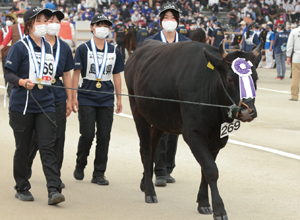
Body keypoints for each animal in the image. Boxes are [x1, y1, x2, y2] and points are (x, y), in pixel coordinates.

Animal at [123, 39, 260, 220]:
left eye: (256, 78)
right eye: (230, 79)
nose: (247, 111)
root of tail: (144, 45)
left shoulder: (218, 139)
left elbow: (205, 170)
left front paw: (203, 203)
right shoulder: (193, 134)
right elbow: (211, 170)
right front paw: (219, 209)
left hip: (161, 120)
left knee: (152, 146)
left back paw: (145, 184)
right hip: (138, 111)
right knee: (145, 149)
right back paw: (150, 193)